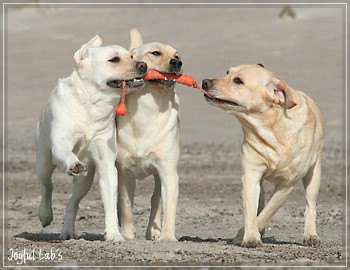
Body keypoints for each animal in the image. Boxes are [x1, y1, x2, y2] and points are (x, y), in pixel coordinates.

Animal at [36, 34, 148, 242]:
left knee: (73, 202)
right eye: (114, 59)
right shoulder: (61, 144)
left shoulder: (106, 164)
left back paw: (68, 231)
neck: (93, 104)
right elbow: (66, 154)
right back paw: (45, 215)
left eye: (131, 56)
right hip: (44, 161)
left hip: (85, 181)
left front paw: (113, 234)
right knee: (47, 185)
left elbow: (110, 204)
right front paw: (74, 164)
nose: (143, 64)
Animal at [116, 28, 182, 242]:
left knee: (156, 200)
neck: (149, 109)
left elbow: (168, 208)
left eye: (177, 55)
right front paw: (127, 235)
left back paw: (154, 231)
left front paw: (167, 237)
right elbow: (126, 207)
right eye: (155, 53)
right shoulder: (124, 172)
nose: (177, 63)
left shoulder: (169, 172)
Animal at [201, 64, 326, 248]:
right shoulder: (251, 174)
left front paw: (243, 235)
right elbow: (253, 210)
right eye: (227, 72)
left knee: (310, 205)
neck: (271, 128)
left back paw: (310, 235)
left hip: (313, 174)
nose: (205, 82)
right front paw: (251, 236)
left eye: (238, 81)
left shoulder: (287, 184)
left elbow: (268, 212)